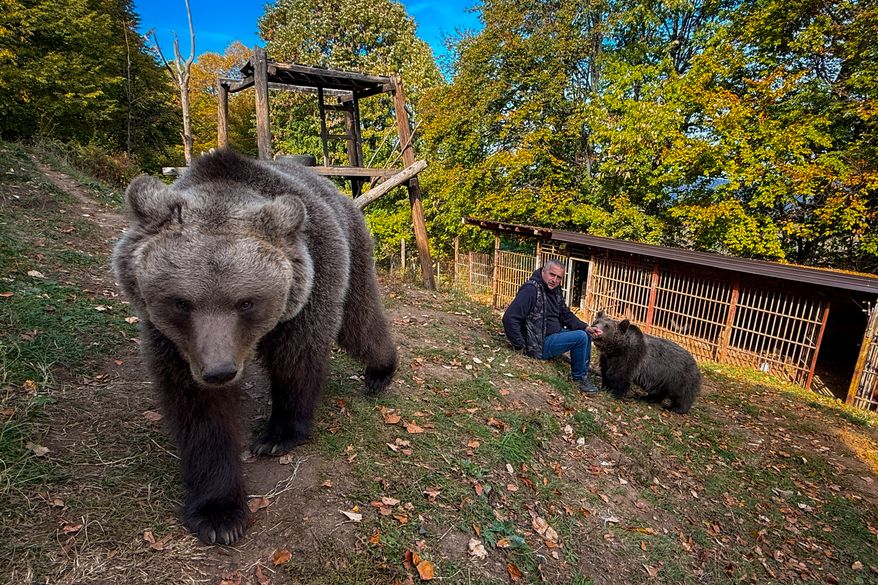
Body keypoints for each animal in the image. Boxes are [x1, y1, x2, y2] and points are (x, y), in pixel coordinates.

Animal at [112, 149, 398, 545]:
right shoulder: (175, 344)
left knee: (359, 320)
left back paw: (380, 371)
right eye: (180, 302)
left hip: (354, 251)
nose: (219, 371)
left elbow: (296, 361)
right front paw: (219, 513)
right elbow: (201, 412)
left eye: (246, 301)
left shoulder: (311, 288)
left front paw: (278, 436)